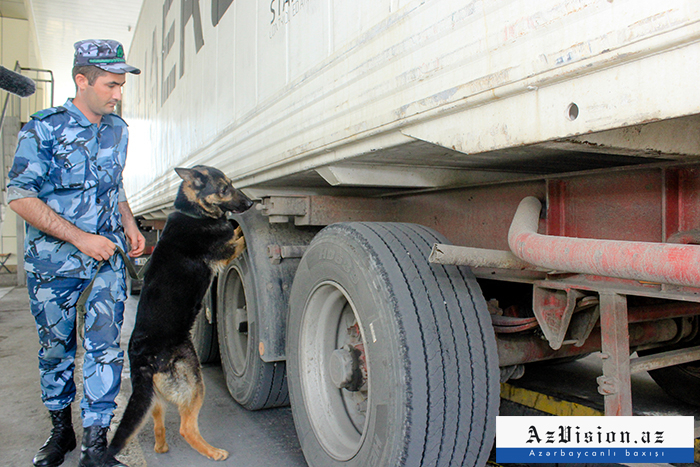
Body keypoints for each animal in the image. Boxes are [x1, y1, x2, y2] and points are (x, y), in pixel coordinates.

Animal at [105, 165, 253, 464]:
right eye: (225, 189)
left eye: (232, 184)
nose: (251, 204)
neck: (193, 212)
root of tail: (141, 359)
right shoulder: (229, 249)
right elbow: (237, 235)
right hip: (193, 381)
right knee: (186, 427)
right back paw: (213, 452)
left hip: (156, 396)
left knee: (157, 421)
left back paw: (162, 447)